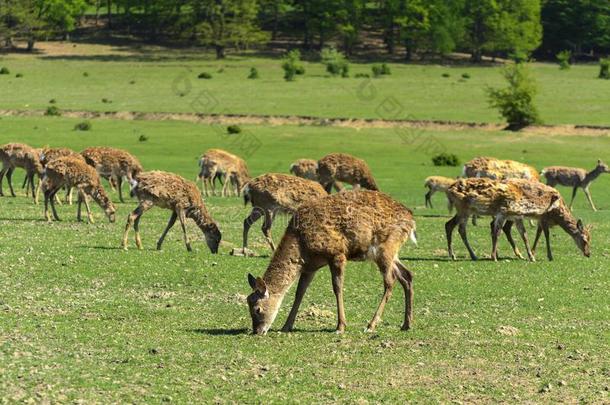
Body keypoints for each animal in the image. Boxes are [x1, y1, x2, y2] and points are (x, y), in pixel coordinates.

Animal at [246, 191, 414, 332]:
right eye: (248, 304)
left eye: (257, 309)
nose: (257, 331)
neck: (302, 244)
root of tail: (411, 219)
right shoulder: (310, 267)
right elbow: (299, 292)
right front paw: (286, 326)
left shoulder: (337, 254)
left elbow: (337, 287)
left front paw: (340, 326)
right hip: (391, 253)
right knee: (407, 275)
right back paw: (406, 324)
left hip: (385, 248)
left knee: (390, 281)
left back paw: (371, 325)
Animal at [444, 178, 588, 260]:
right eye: (585, 240)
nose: (588, 254)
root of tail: (449, 189)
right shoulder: (504, 212)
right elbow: (497, 233)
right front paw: (493, 257)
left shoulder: (517, 216)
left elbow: (524, 235)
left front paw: (531, 256)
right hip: (464, 209)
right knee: (461, 229)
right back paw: (468, 255)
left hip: (463, 210)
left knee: (449, 224)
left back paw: (457, 255)